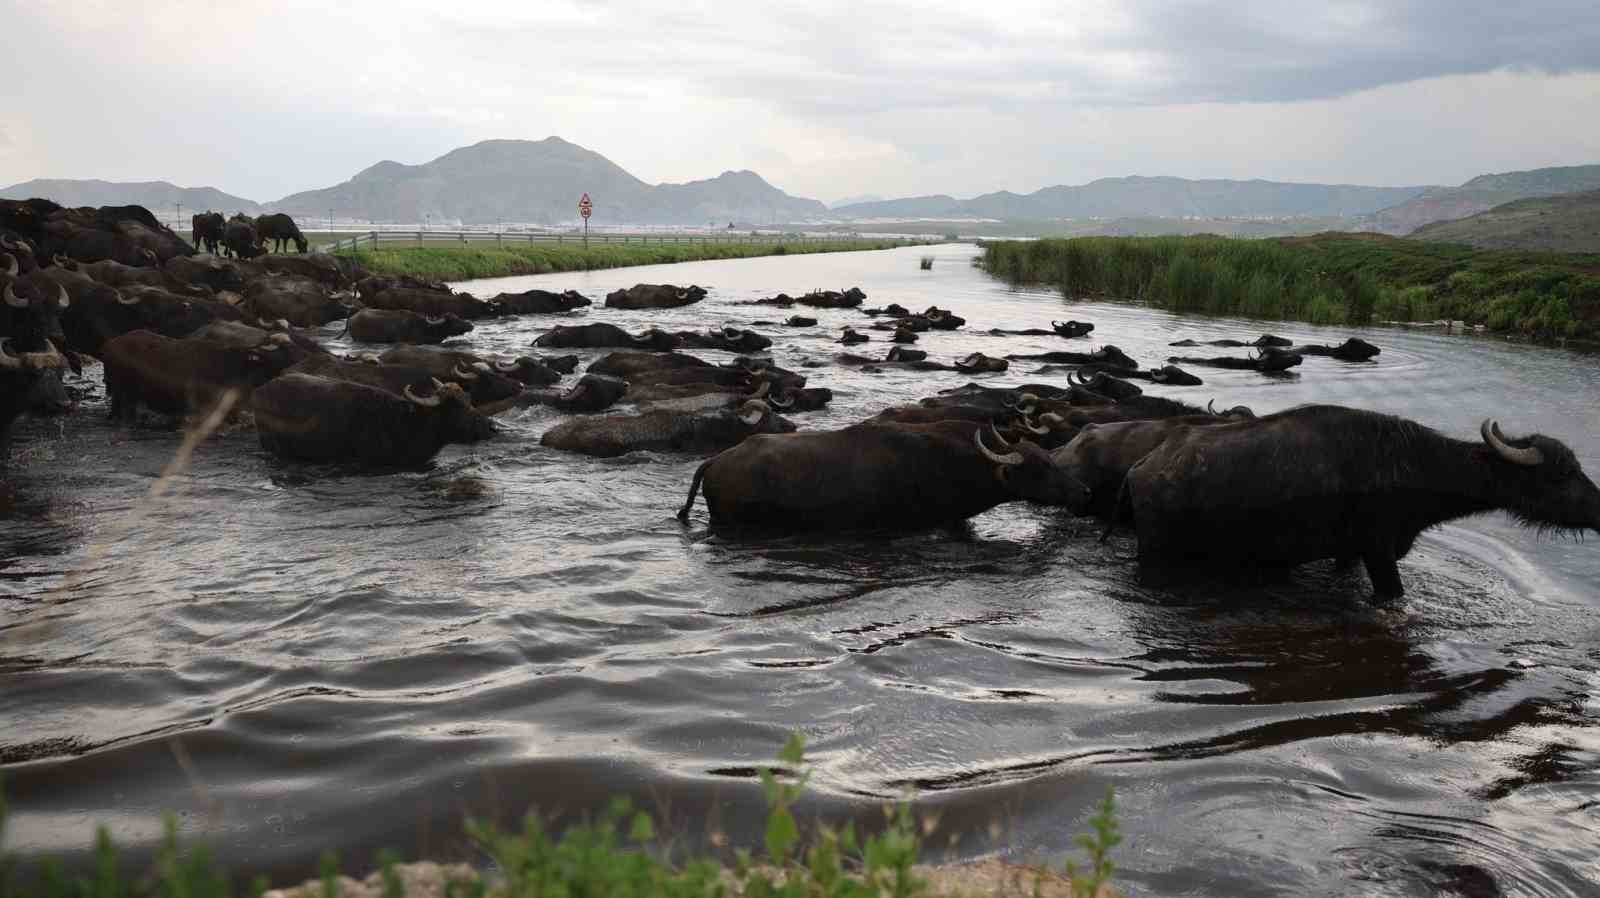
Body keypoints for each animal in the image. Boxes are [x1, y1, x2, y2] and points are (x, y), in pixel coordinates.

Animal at [1120, 409, 1600, 598]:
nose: (1599, 508)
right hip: (1157, 551)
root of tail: (1143, 465)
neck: (1414, 465)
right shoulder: (1379, 552)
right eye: (1563, 474)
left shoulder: (1348, 553)